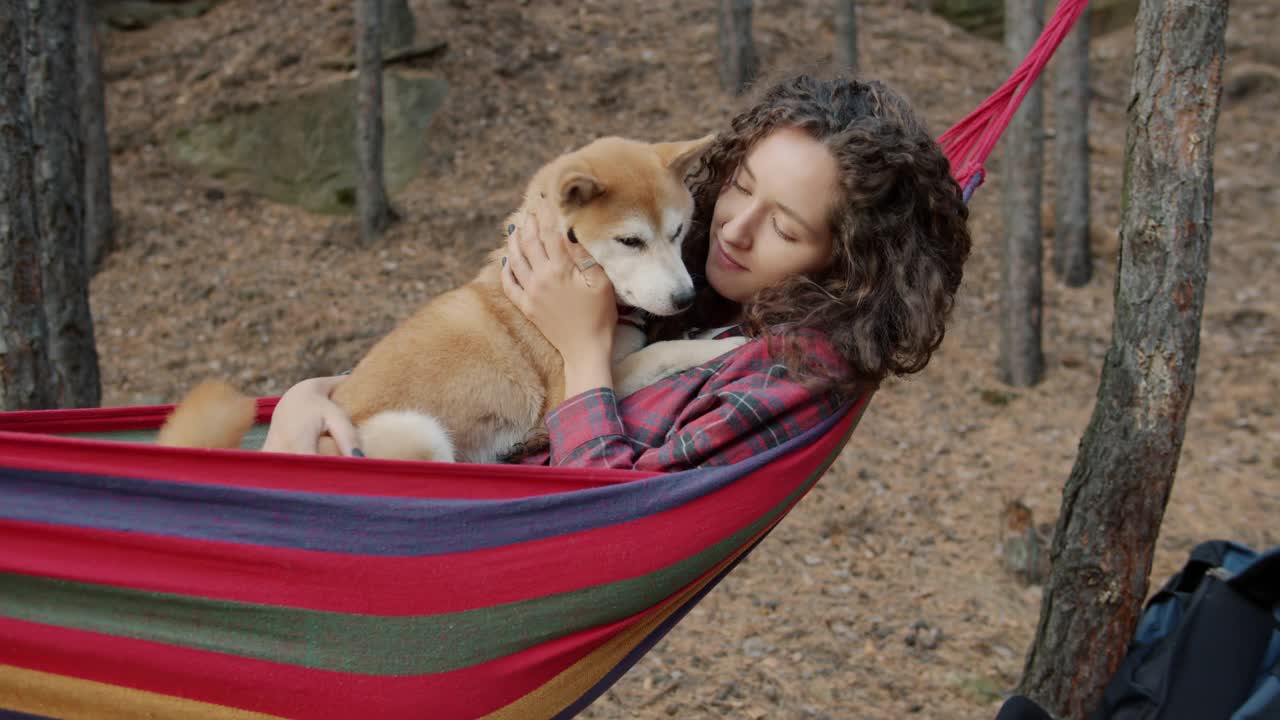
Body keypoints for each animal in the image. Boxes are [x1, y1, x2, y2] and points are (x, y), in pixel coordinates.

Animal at [156, 134, 747, 458]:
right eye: (630, 241)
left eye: (677, 231)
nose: (684, 296)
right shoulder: (571, 389)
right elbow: (663, 351)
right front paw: (720, 347)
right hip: (417, 430)